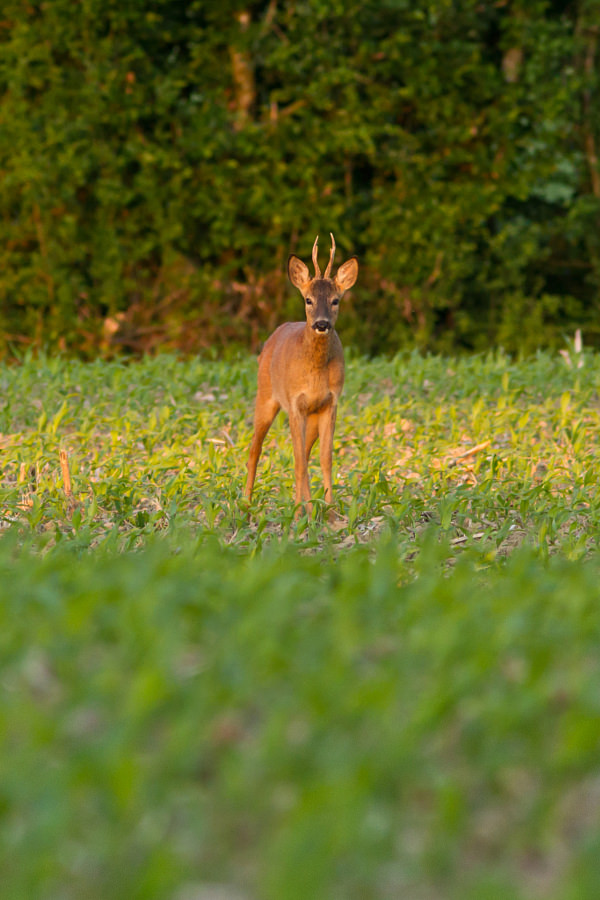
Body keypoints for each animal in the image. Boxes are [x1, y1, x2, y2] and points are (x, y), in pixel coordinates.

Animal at [245, 232, 358, 512]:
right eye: (308, 300)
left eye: (335, 300)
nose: (321, 324)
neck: (314, 374)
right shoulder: (295, 403)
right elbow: (298, 461)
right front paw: (303, 513)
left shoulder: (330, 402)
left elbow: (324, 458)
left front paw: (329, 511)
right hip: (266, 396)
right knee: (254, 449)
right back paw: (245, 505)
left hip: (312, 415)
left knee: (304, 454)